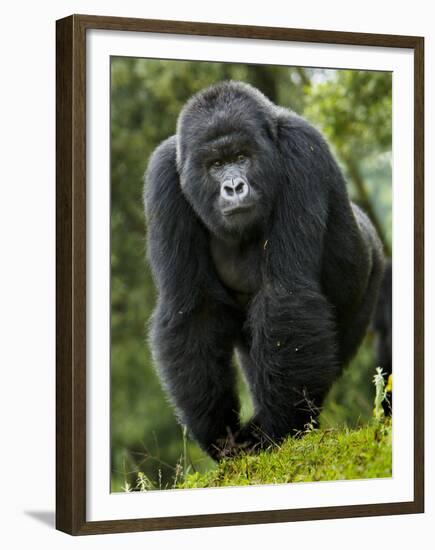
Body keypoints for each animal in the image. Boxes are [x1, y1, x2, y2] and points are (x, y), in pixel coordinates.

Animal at [144, 81, 384, 462]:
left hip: (373, 279)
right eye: (216, 164)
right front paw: (221, 436)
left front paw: (276, 431)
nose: (233, 187)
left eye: (242, 157)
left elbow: (287, 297)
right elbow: (192, 310)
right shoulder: (164, 176)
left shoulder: (302, 151)